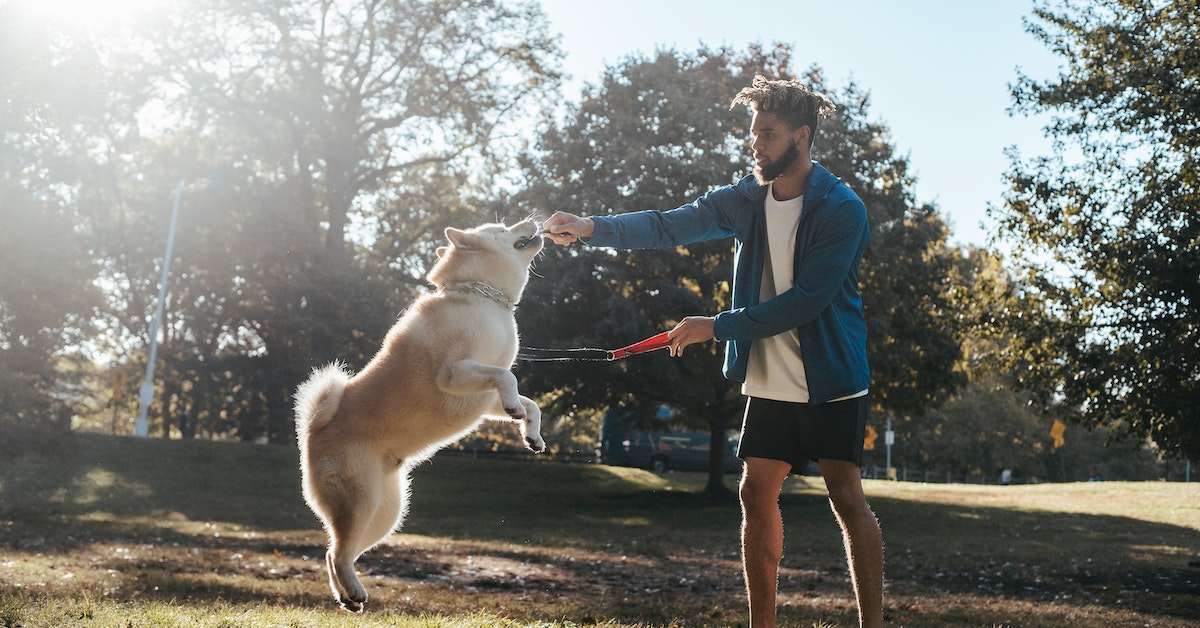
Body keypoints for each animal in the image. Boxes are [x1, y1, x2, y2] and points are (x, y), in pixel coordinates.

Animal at [292, 218, 547, 612]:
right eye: (503, 227)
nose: (533, 221)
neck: (483, 297)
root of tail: (313, 432)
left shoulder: (484, 396)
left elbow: (527, 399)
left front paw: (531, 433)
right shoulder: (455, 373)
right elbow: (509, 377)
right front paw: (516, 410)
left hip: (386, 514)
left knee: (334, 553)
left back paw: (348, 596)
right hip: (362, 500)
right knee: (337, 552)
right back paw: (354, 591)